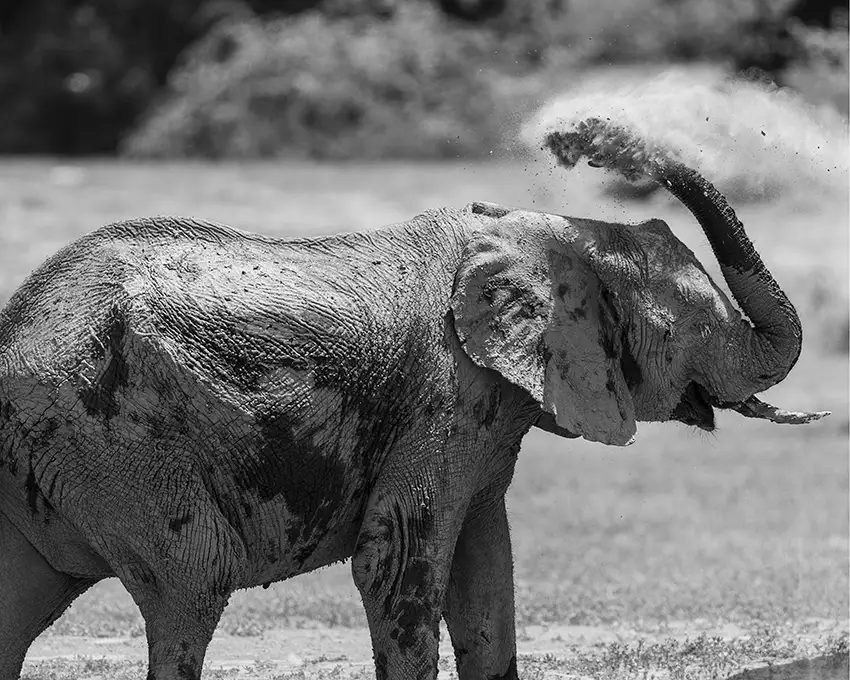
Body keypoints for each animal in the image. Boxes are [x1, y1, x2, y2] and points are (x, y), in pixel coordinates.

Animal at [0, 122, 827, 680]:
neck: (550, 235)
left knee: (22, 601)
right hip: (111, 437)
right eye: (682, 327)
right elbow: (398, 562)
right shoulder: (444, 396)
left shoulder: (486, 421)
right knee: (193, 584)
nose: (598, 141)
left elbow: (486, 574)